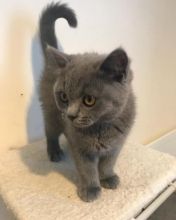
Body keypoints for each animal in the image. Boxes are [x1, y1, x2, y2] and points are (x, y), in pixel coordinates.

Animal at [38, 2, 135, 202]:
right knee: (50, 131)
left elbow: (108, 162)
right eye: (64, 96)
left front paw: (108, 178)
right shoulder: (79, 146)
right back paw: (54, 152)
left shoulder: (117, 144)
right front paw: (91, 189)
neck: (102, 127)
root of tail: (51, 62)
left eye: (89, 100)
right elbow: (86, 169)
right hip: (51, 112)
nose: (70, 115)